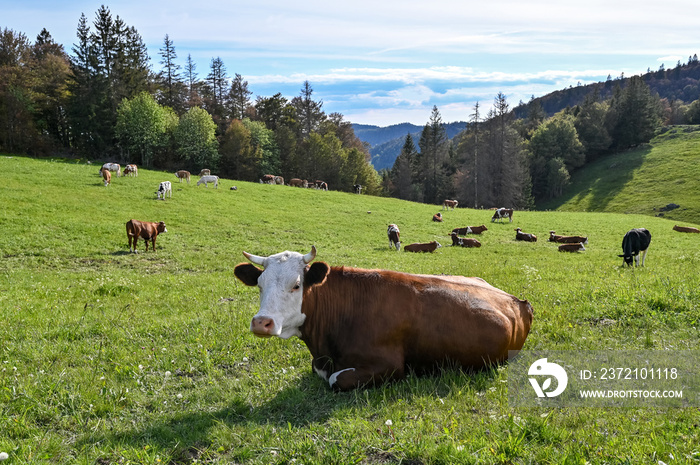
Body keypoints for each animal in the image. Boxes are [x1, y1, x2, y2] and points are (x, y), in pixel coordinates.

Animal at [232, 245, 532, 390]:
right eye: (259, 284)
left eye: (296, 285)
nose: (261, 322)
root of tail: (517, 300)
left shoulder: (389, 366)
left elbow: (335, 379)